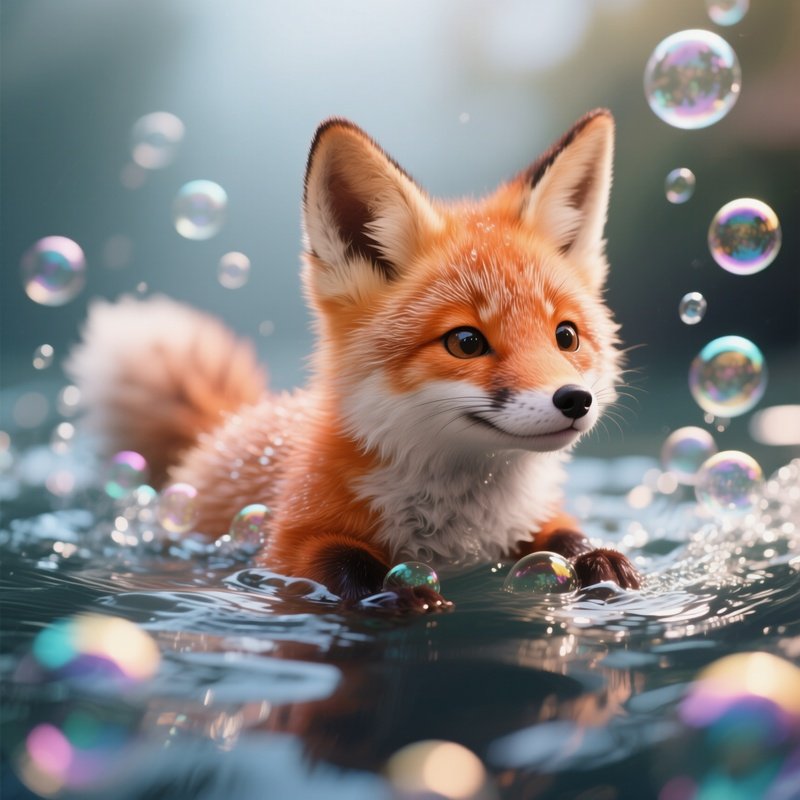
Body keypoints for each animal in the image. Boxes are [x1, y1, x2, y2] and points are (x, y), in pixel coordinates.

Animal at [67, 109, 640, 611]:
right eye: (466, 342)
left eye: (566, 335)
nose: (575, 400)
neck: (457, 533)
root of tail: (228, 421)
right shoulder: (287, 543)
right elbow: (337, 561)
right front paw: (400, 593)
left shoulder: (534, 521)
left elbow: (566, 538)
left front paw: (600, 561)